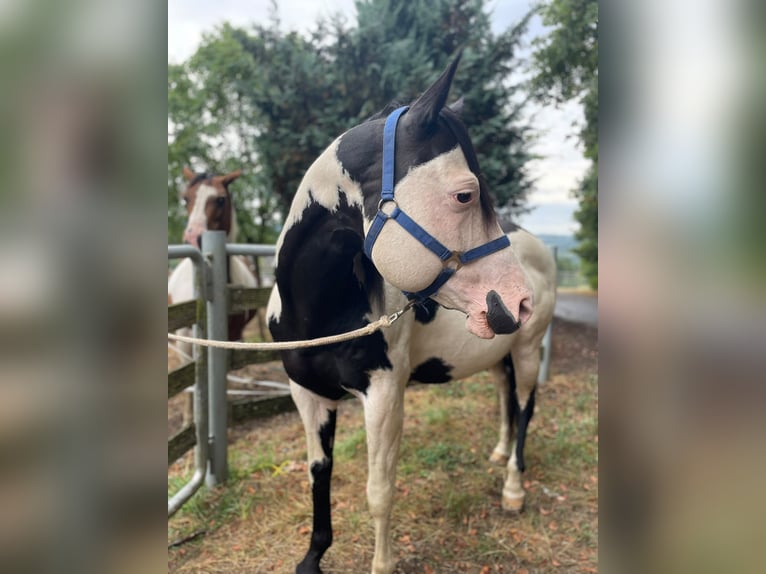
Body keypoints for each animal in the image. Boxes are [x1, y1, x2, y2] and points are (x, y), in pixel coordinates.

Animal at [266, 54, 556, 574]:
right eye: (465, 194)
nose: (517, 301)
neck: (317, 314)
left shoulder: (383, 396)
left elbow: (379, 492)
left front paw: (381, 564)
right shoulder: (307, 395)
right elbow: (319, 474)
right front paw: (312, 557)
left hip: (526, 351)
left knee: (525, 406)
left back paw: (513, 488)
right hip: (497, 354)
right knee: (506, 399)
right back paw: (499, 454)